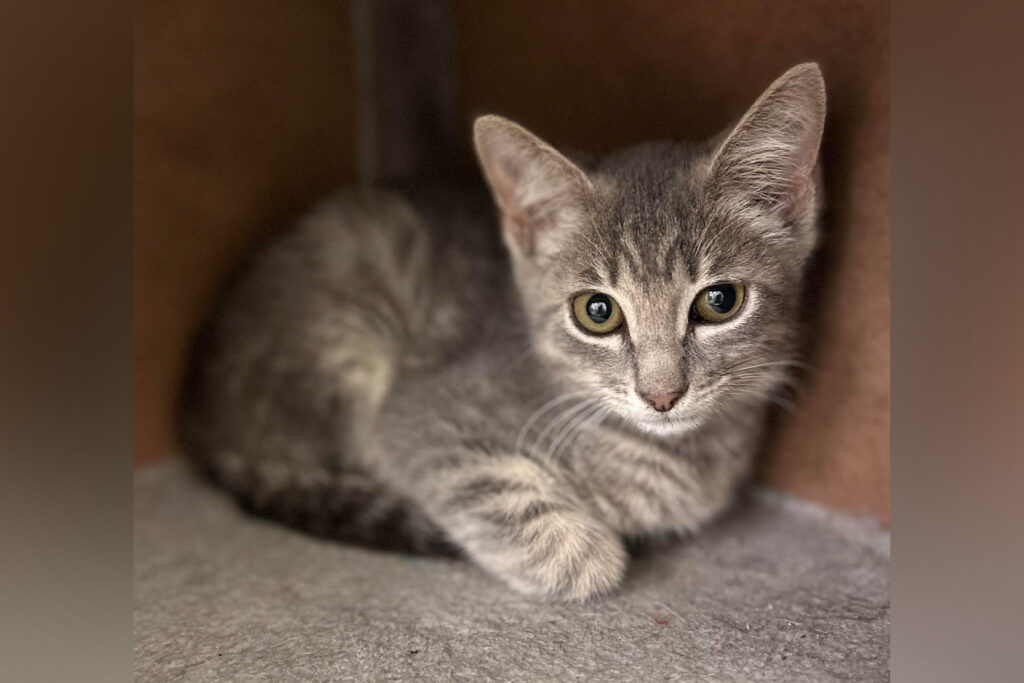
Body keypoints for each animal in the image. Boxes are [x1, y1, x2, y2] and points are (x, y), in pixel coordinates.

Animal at [182, 62, 823, 598]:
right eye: (597, 312)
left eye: (720, 301)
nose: (662, 395)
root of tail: (197, 412)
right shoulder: (420, 413)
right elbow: (535, 521)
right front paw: (595, 549)